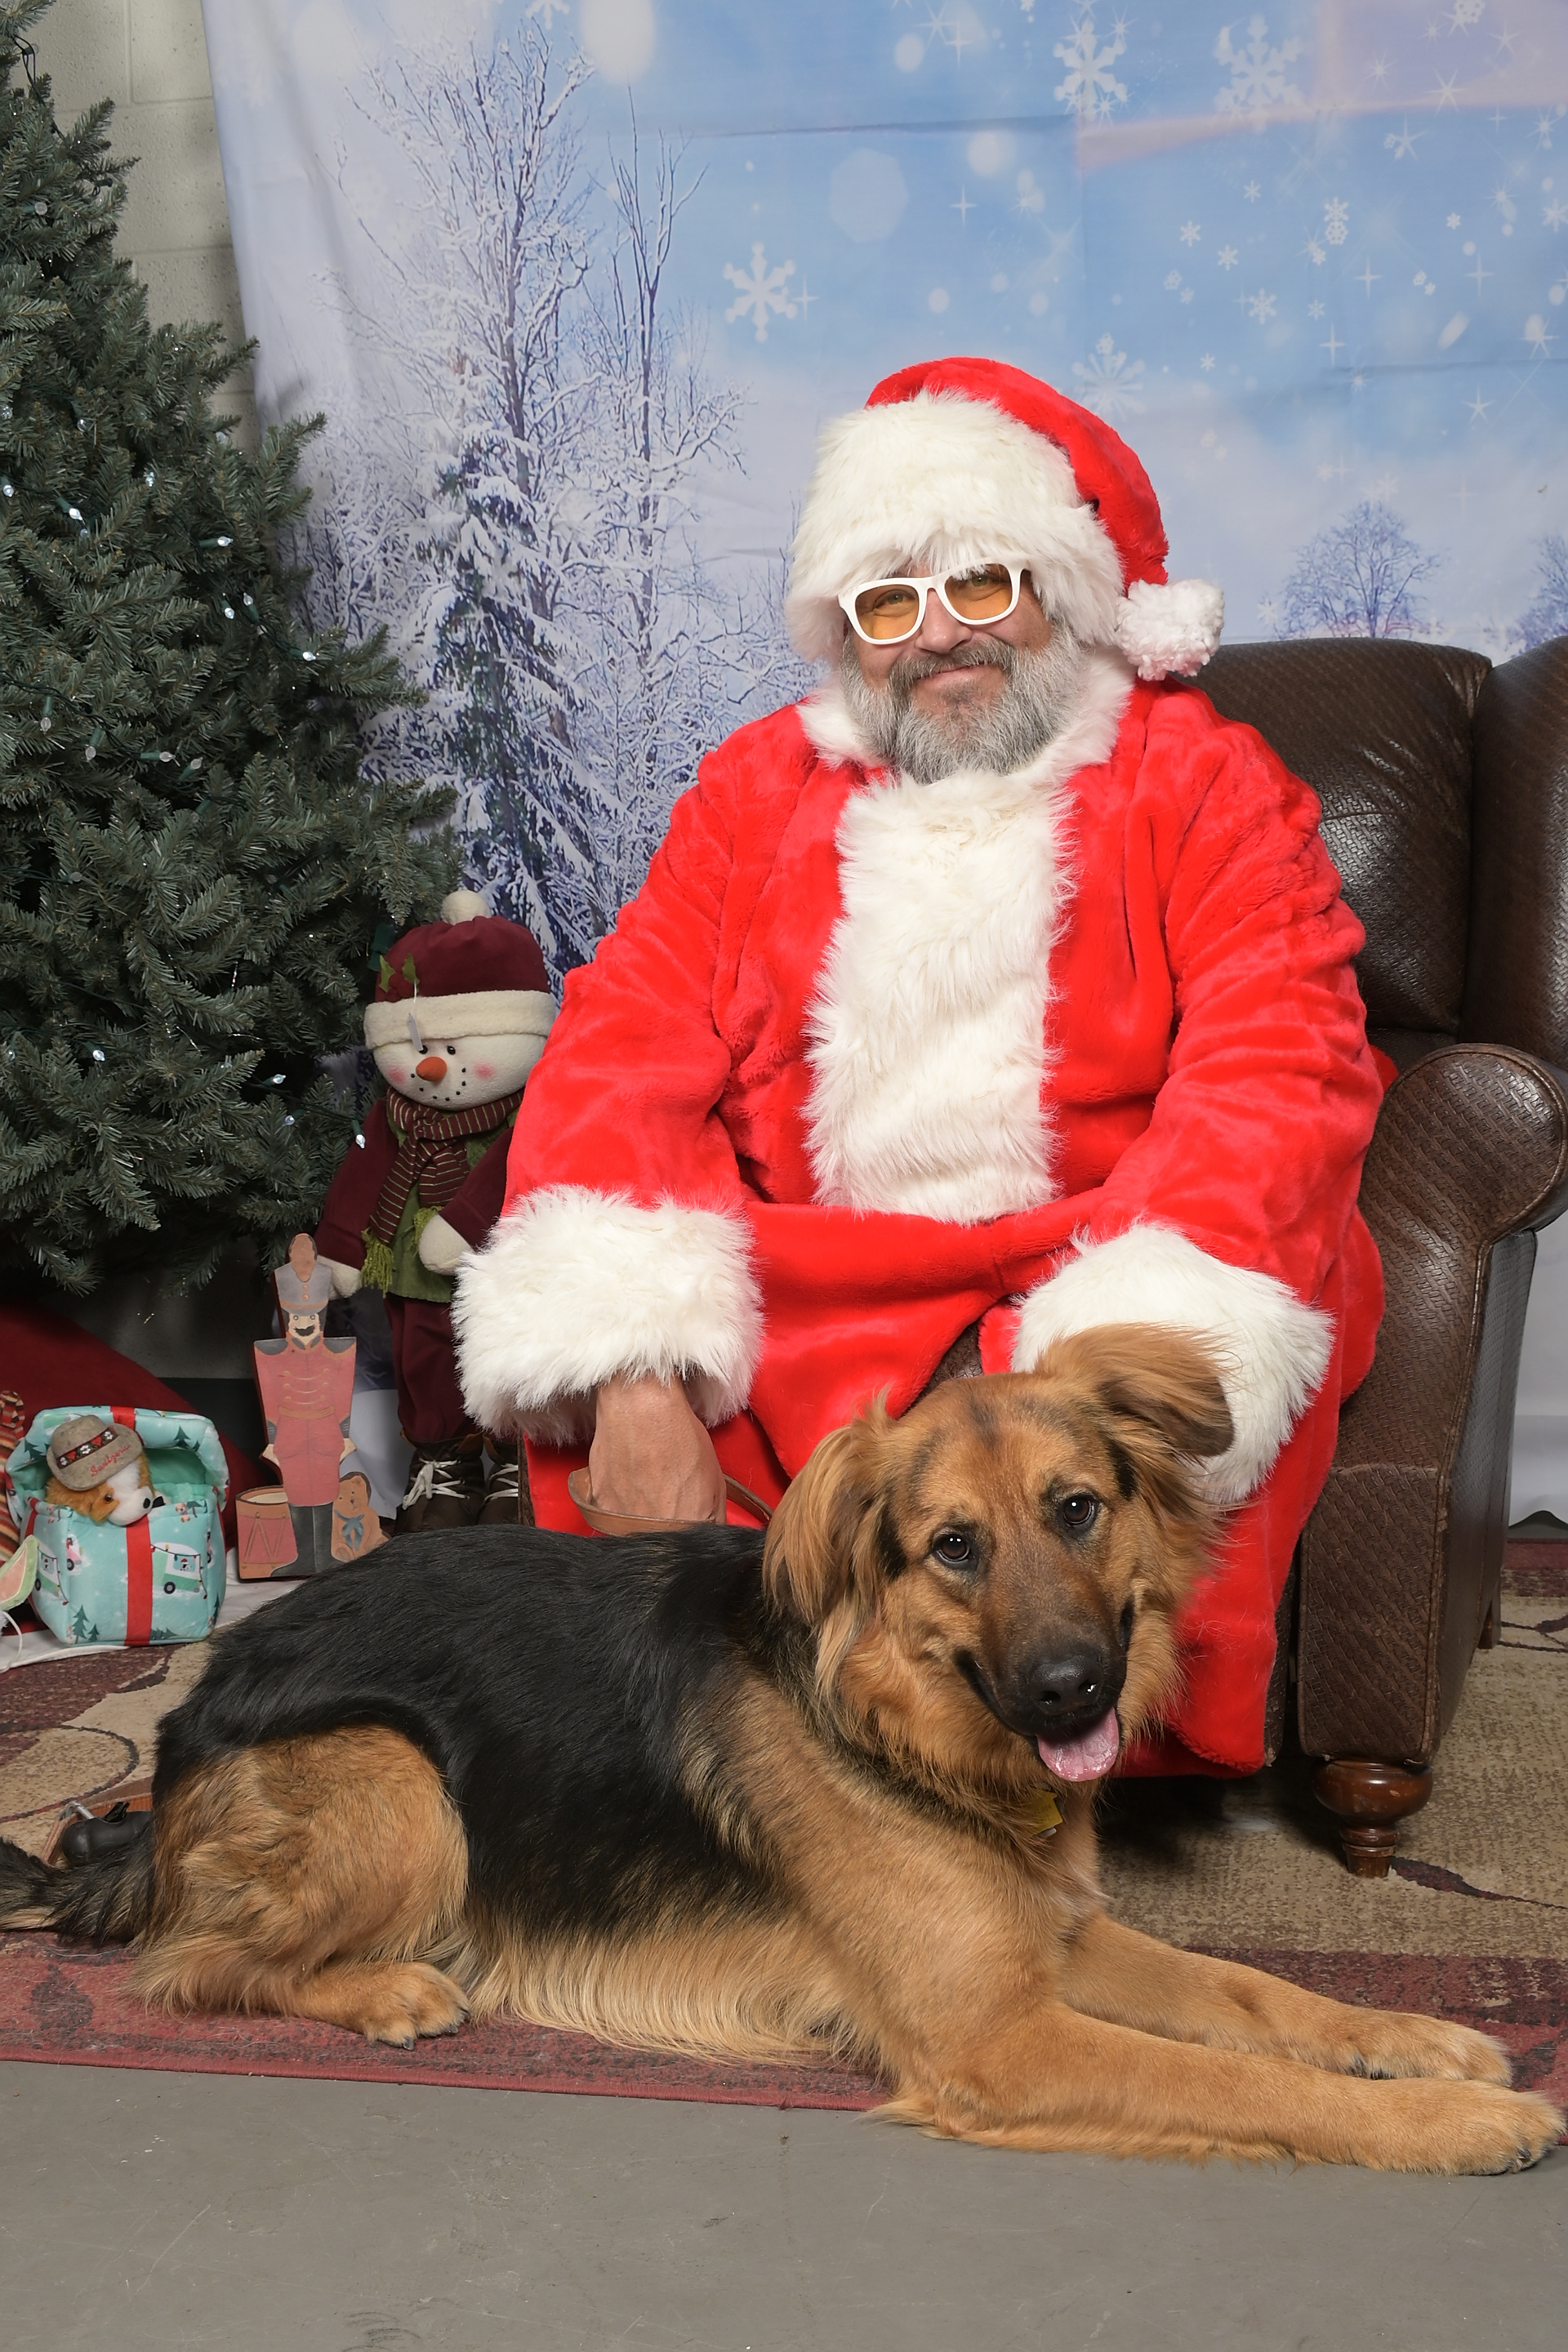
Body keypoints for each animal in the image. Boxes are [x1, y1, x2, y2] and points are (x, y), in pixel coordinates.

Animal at [1, 1327, 1559, 2172]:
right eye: (952, 1549)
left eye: (1077, 1510)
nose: (1071, 1693)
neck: (896, 1729)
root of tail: (183, 1724)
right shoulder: (998, 2035)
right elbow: (1241, 2080)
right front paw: (1450, 2126)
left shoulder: (1051, 1944)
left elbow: (1255, 1995)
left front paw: (1420, 2044)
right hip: (400, 1780)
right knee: (192, 1964)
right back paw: (389, 1989)